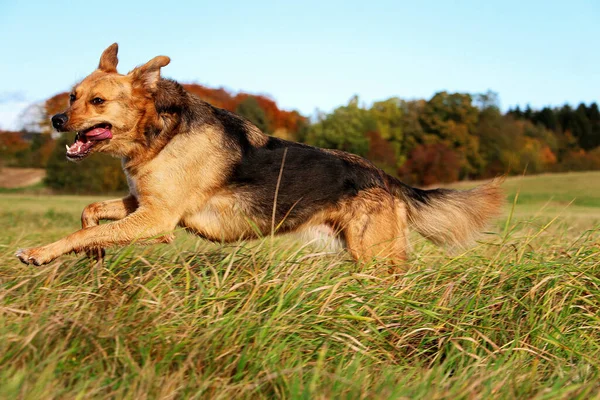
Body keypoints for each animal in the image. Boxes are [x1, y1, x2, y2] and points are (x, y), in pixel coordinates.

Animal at [15, 43, 502, 268]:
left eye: (97, 102)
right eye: (72, 96)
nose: (56, 119)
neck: (159, 134)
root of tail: (387, 178)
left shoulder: (156, 217)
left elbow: (77, 232)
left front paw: (42, 252)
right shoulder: (141, 203)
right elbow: (89, 214)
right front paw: (93, 250)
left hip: (375, 254)